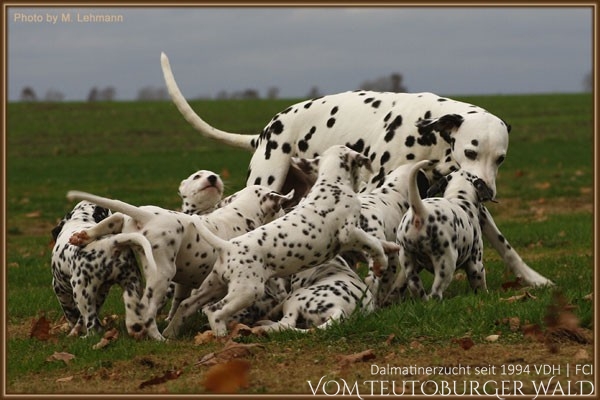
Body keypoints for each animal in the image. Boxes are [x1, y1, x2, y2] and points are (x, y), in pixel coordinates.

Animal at [51, 201, 147, 337]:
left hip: (81, 292)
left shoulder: (59, 287)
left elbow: (71, 313)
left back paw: (87, 337)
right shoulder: (102, 292)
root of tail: (111, 242)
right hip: (132, 283)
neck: (80, 220)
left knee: (93, 326)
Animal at [66, 185, 292, 340]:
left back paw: (82, 236)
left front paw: (173, 326)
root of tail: (146, 216)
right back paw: (157, 337)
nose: (286, 213)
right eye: (280, 206)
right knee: (147, 310)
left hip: (123, 225)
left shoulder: (193, 285)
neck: (240, 213)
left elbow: (182, 305)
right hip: (162, 274)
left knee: (113, 220)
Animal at [163, 145, 400, 338]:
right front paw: (381, 263)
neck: (331, 184)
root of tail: (228, 246)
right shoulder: (349, 232)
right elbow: (373, 243)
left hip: (213, 285)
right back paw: (222, 332)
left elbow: (377, 242)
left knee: (186, 305)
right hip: (247, 291)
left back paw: (171, 331)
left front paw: (391, 247)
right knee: (216, 311)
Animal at [394, 160, 492, 300]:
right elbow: (480, 283)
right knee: (436, 291)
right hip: (446, 263)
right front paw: (486, 295)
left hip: (407, 259)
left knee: (415, 285)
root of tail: (421, 212)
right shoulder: (475, 263)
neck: (459, 197)